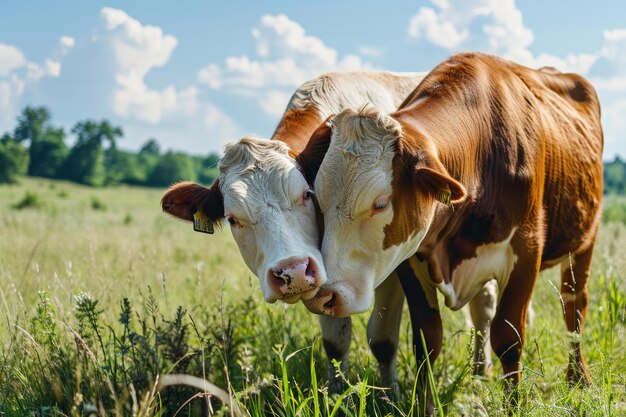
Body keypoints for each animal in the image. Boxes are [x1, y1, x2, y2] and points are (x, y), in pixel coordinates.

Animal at [160, 70, 434, 394]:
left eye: (306, 194)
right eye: (232, 218)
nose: (293, 272)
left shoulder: (393, 264)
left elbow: (382, 341)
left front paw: (390, 395)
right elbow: (335, 343)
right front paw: (337, 394)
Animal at [300, 51, 604, 410]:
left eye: (380, 203)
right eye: (317, 195)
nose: (324, 294)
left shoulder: (526, 252)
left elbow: (509, 336)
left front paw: (513, 404)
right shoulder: (410, 260)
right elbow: (427, 339)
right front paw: (424, 406)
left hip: (584, 241)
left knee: (574, 305)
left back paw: (578, 377)